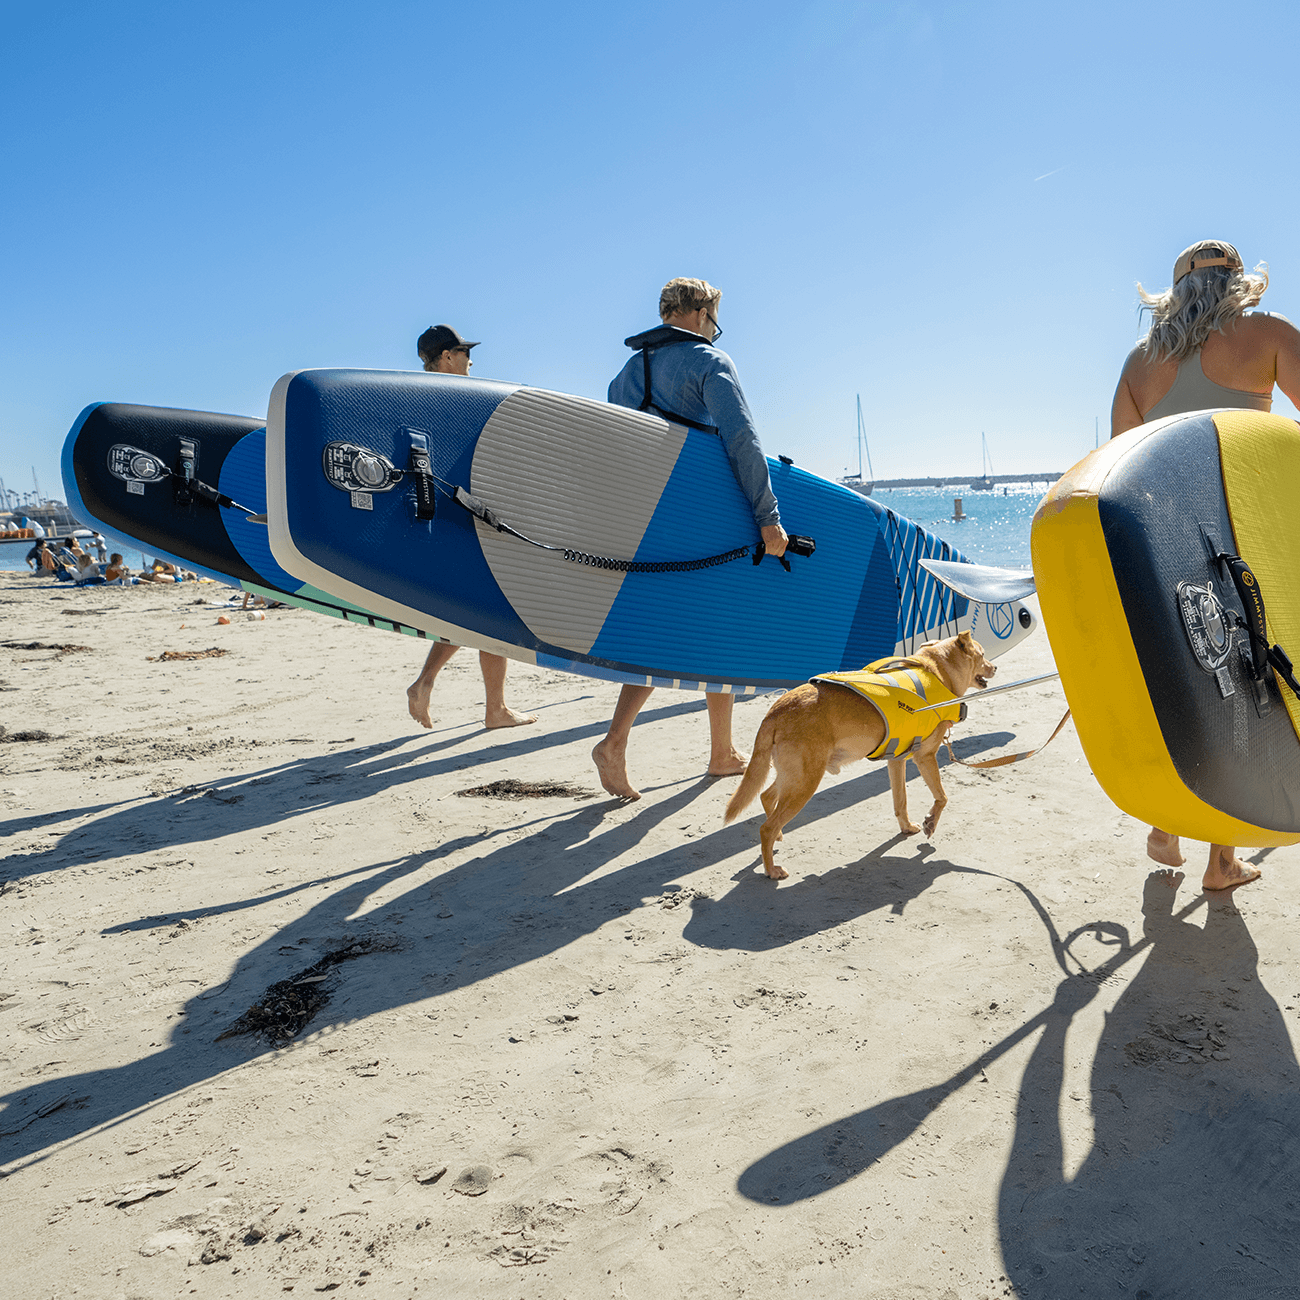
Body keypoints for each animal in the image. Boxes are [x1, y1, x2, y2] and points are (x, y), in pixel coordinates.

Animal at [722, 631, 993, 878]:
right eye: (983, 655)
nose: (995, 667)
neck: (936, 672)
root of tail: (776, 709)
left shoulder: (896, 761)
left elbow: (901, 801)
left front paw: (906, 827)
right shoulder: (925, 757)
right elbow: (942, 797)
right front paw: (931, 822)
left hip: (794, 776)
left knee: (767, 797)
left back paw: (777, 837)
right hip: (805, 783)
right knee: (766, 827)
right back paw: (771, 869)